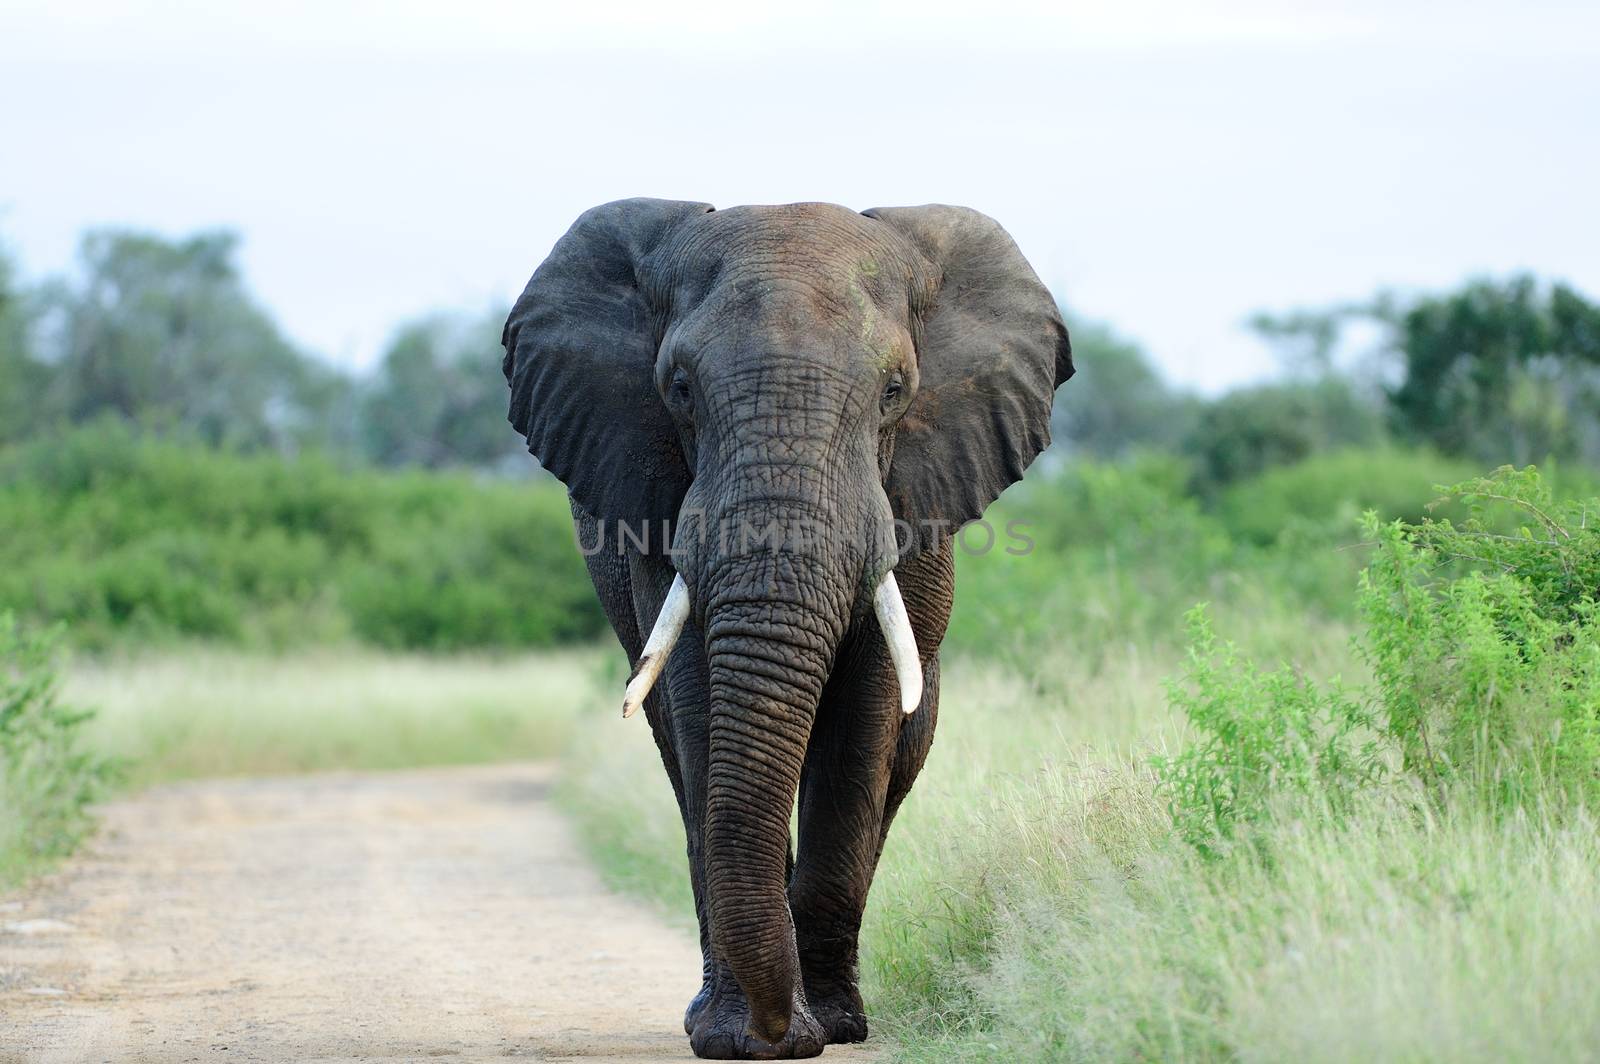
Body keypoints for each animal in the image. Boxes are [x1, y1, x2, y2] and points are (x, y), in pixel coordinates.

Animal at [505, 199, 1068, 1056]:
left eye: (896, 391)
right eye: (677, 389)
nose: (778, 1034)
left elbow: (863, 720)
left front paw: (828, 1029)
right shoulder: (656, 506)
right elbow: (700, 699)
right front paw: (741, 1040)